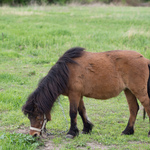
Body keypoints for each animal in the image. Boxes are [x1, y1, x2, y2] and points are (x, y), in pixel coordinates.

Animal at [22, 47, 150, 138]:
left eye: (38, 116)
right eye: (29, 117)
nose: (34, 135)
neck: (66, 72)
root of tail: (145, 60)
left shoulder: (74, 95)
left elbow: (73, 113)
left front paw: (71, 132)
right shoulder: (79, 95)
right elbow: (81, 111)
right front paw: (86, 128)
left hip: (140, 91)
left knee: (146, 106)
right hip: (128, 91)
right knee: (133, 108)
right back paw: (128, 131)